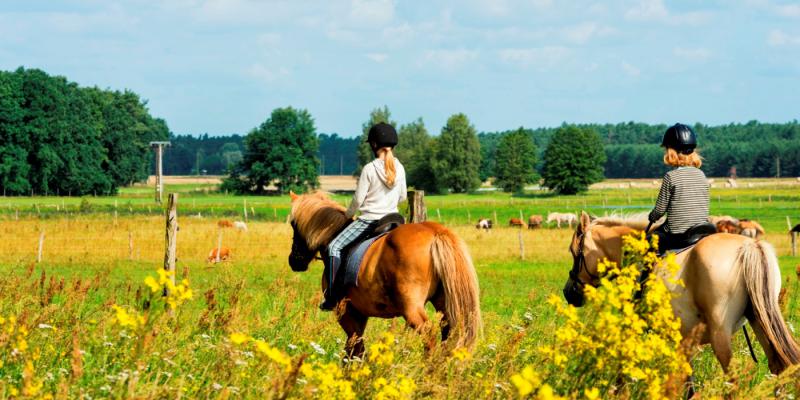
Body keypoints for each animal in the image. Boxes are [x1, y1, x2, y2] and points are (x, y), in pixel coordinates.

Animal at [286, 191, 482, 356]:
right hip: (444, 303)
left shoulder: (345, 312)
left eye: (294, 224)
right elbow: (355, 349)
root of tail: (434, 232)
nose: (294, 260)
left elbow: (353, 348)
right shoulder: (360, 313)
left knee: (430, 337)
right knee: (448, 334)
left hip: (413, 309)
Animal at [564, 212, 800, 376]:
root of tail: (749, 246)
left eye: (575, 253)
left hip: (721, 335)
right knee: (780, 364)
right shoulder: (683, 340)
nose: (568, 293)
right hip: (760, 319)